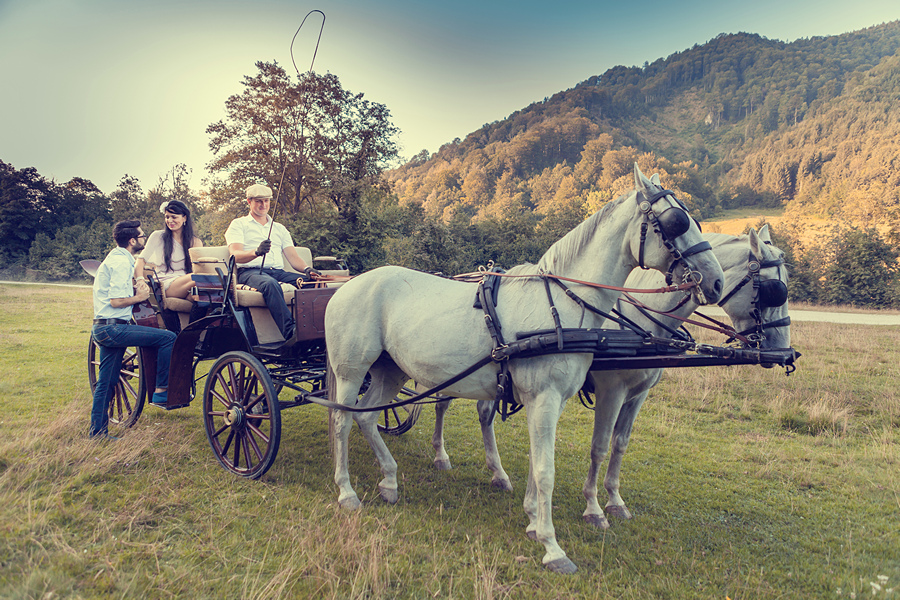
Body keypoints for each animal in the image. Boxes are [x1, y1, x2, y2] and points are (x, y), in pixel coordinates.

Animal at [324, 164, 724, 572]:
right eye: (676, 222)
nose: (715, 281)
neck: (563, 303)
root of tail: (347, 286)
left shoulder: (553, 400)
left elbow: (538, 460)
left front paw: (533, 519)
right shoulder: (550, 396)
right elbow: (547, 469)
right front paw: (552, 545)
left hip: (391, 369)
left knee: (367, 415)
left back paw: (389, 481)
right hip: (351, 371)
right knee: (342, 420)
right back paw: (346, 491)